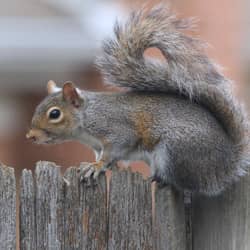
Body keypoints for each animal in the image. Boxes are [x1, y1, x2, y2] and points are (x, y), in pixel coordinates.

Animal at [26, 4, 250, 194]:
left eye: (55, 114)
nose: (31, 136)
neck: (87, 117)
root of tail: (226, 164)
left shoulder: (116, 129)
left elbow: (114, 149)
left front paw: (97, 166)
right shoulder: (97, 145)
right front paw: (97, 165)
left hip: (175, 151)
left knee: (183, 183)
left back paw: (162, 179)